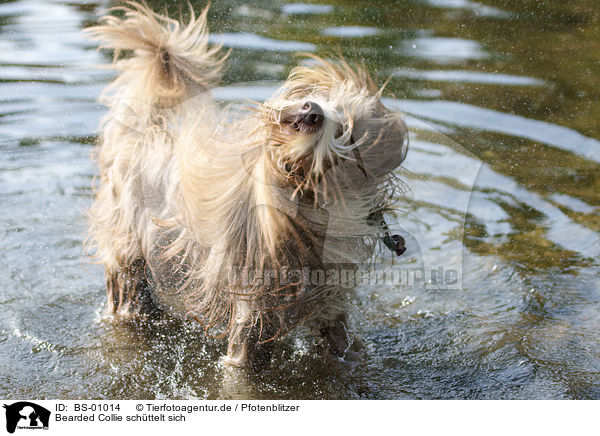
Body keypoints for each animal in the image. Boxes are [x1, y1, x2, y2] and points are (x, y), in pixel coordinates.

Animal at [85, 3, 408, 372]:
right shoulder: (250, 307)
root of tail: (149, 127)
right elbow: (242, 360)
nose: (311, 112)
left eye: (347, 131)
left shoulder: (328, 301)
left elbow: (340, 341)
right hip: (129, 248)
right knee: (128, 290)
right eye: (324, 101)